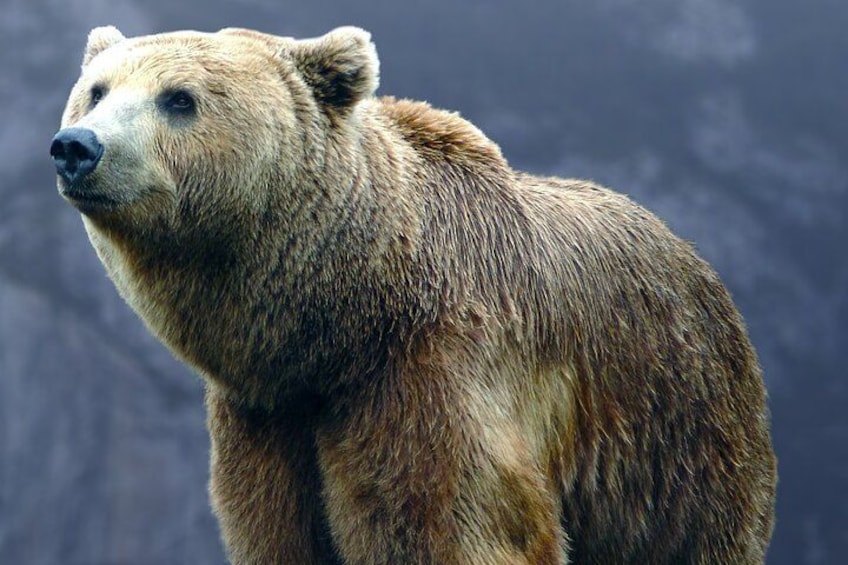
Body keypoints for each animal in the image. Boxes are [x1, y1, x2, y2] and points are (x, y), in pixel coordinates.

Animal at [51, 25, 777, 564]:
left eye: (179, 98)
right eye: (97, 89)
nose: (77, 146)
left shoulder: (433, 374)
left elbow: (459, 521)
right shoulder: (268, 418)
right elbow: (277, 528)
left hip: (673, 436)